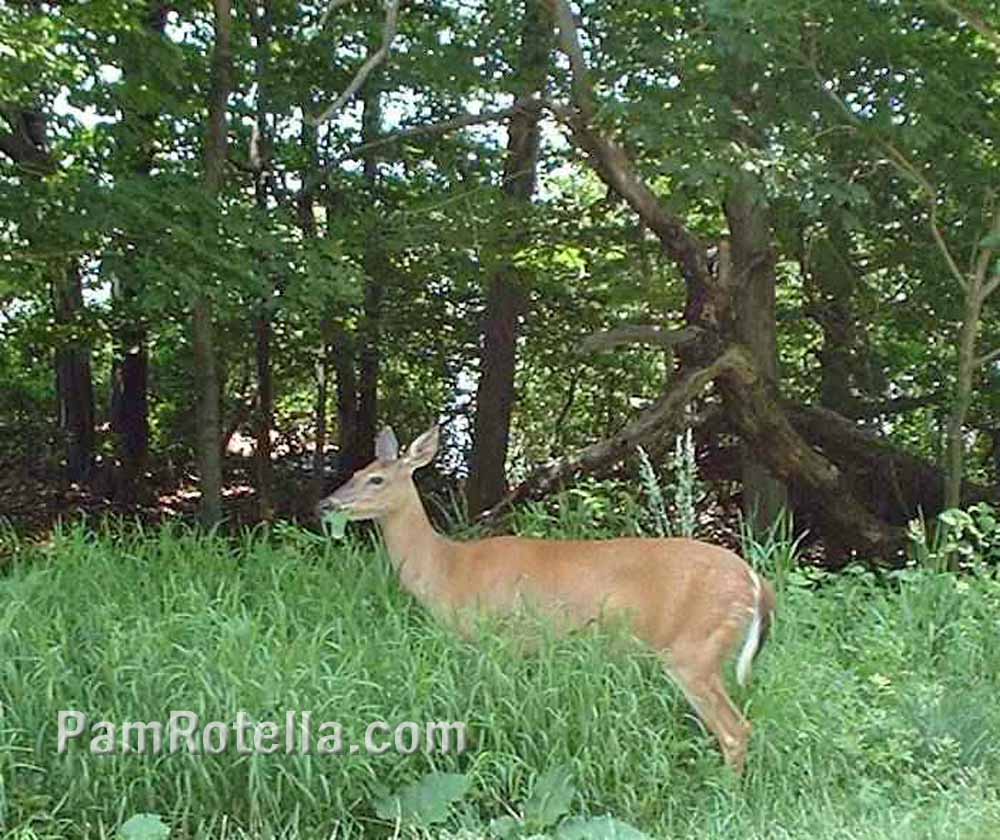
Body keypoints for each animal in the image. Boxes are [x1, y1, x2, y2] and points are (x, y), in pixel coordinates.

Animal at [316, 426, 776, 776]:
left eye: (377, 479)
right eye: (357, 470)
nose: (326, 504)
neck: (448, 570)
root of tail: (755, 583)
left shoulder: (498, 637)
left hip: (694, 647)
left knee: (736, 730)